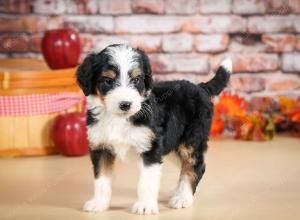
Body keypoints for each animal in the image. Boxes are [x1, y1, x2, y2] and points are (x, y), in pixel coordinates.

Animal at [75, 44, 232, 215]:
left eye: (136, 80)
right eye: (108, 81)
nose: (125, 104)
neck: (119, 118)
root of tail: (201, 87)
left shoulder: (150, 148)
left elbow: (147, 181)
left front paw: (145, 205)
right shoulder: (100, 147)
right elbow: (101, 178)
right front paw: (98, 203)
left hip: (191, 141)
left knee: (195, 166)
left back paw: (183, 197)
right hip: (172, 144)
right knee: (189, 165)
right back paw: (179, 191)